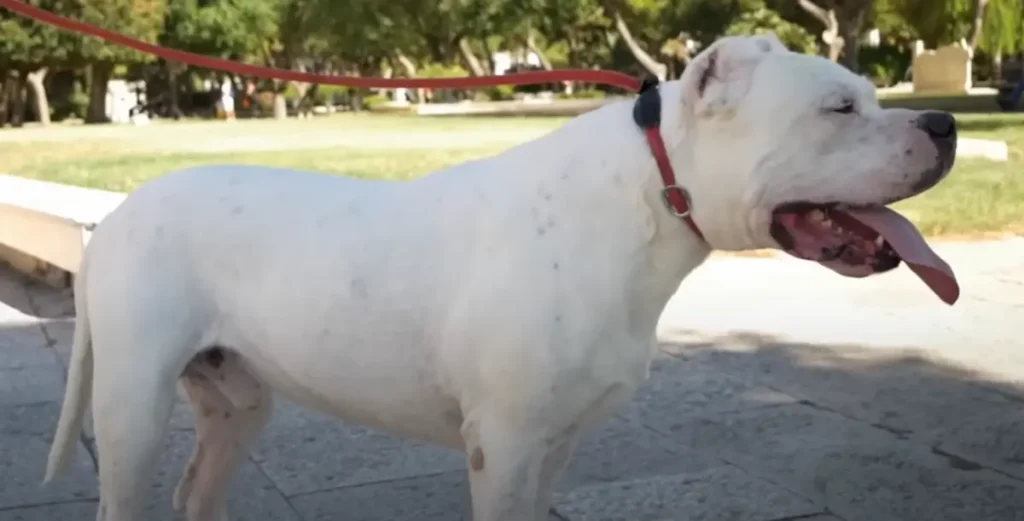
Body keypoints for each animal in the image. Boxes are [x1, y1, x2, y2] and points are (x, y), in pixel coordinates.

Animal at [44, 34, 958, 517]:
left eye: (869, 93)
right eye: (838, 108)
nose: (947, 121)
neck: (642, 200)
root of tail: (114, 216)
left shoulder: (555, 443)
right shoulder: (506, 445)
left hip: (237, 401)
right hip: (131, 406)